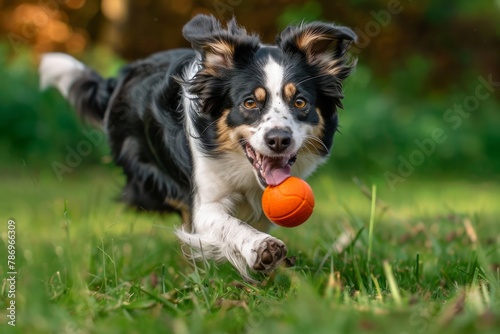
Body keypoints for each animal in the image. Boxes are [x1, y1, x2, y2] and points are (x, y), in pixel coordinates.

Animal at [41, 14, 358, 278]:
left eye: (300, 102)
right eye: (249, 103)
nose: (279, 139)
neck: (243, 171)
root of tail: (121, 77)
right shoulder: (205, 202)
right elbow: (227, 225)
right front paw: (259, 248)